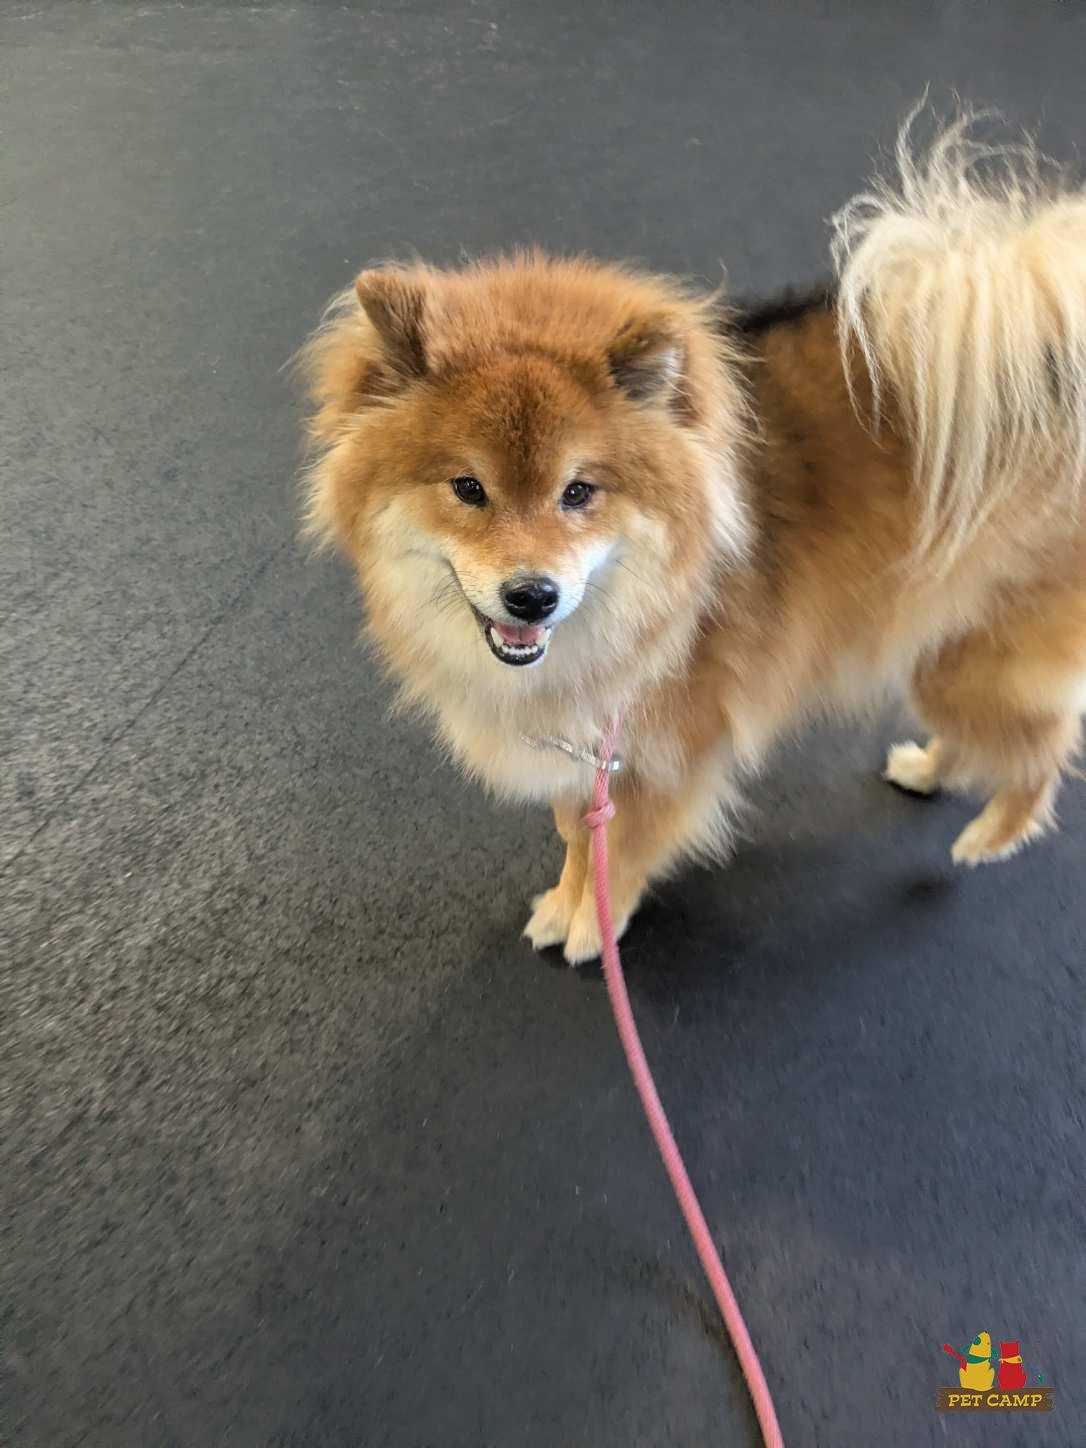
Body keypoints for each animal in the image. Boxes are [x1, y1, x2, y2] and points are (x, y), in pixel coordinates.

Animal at [300, 108, 1086, 964]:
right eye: (468, 489)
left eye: (579, 492)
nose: (532, 596)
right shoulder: (584, 748)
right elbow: (578, 832)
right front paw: (568, 898)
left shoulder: (666, 752)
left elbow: (622, 847)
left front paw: (593, 923)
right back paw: (931, 767)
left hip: (970, 664)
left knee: (1045, 750)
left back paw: (990, 835)